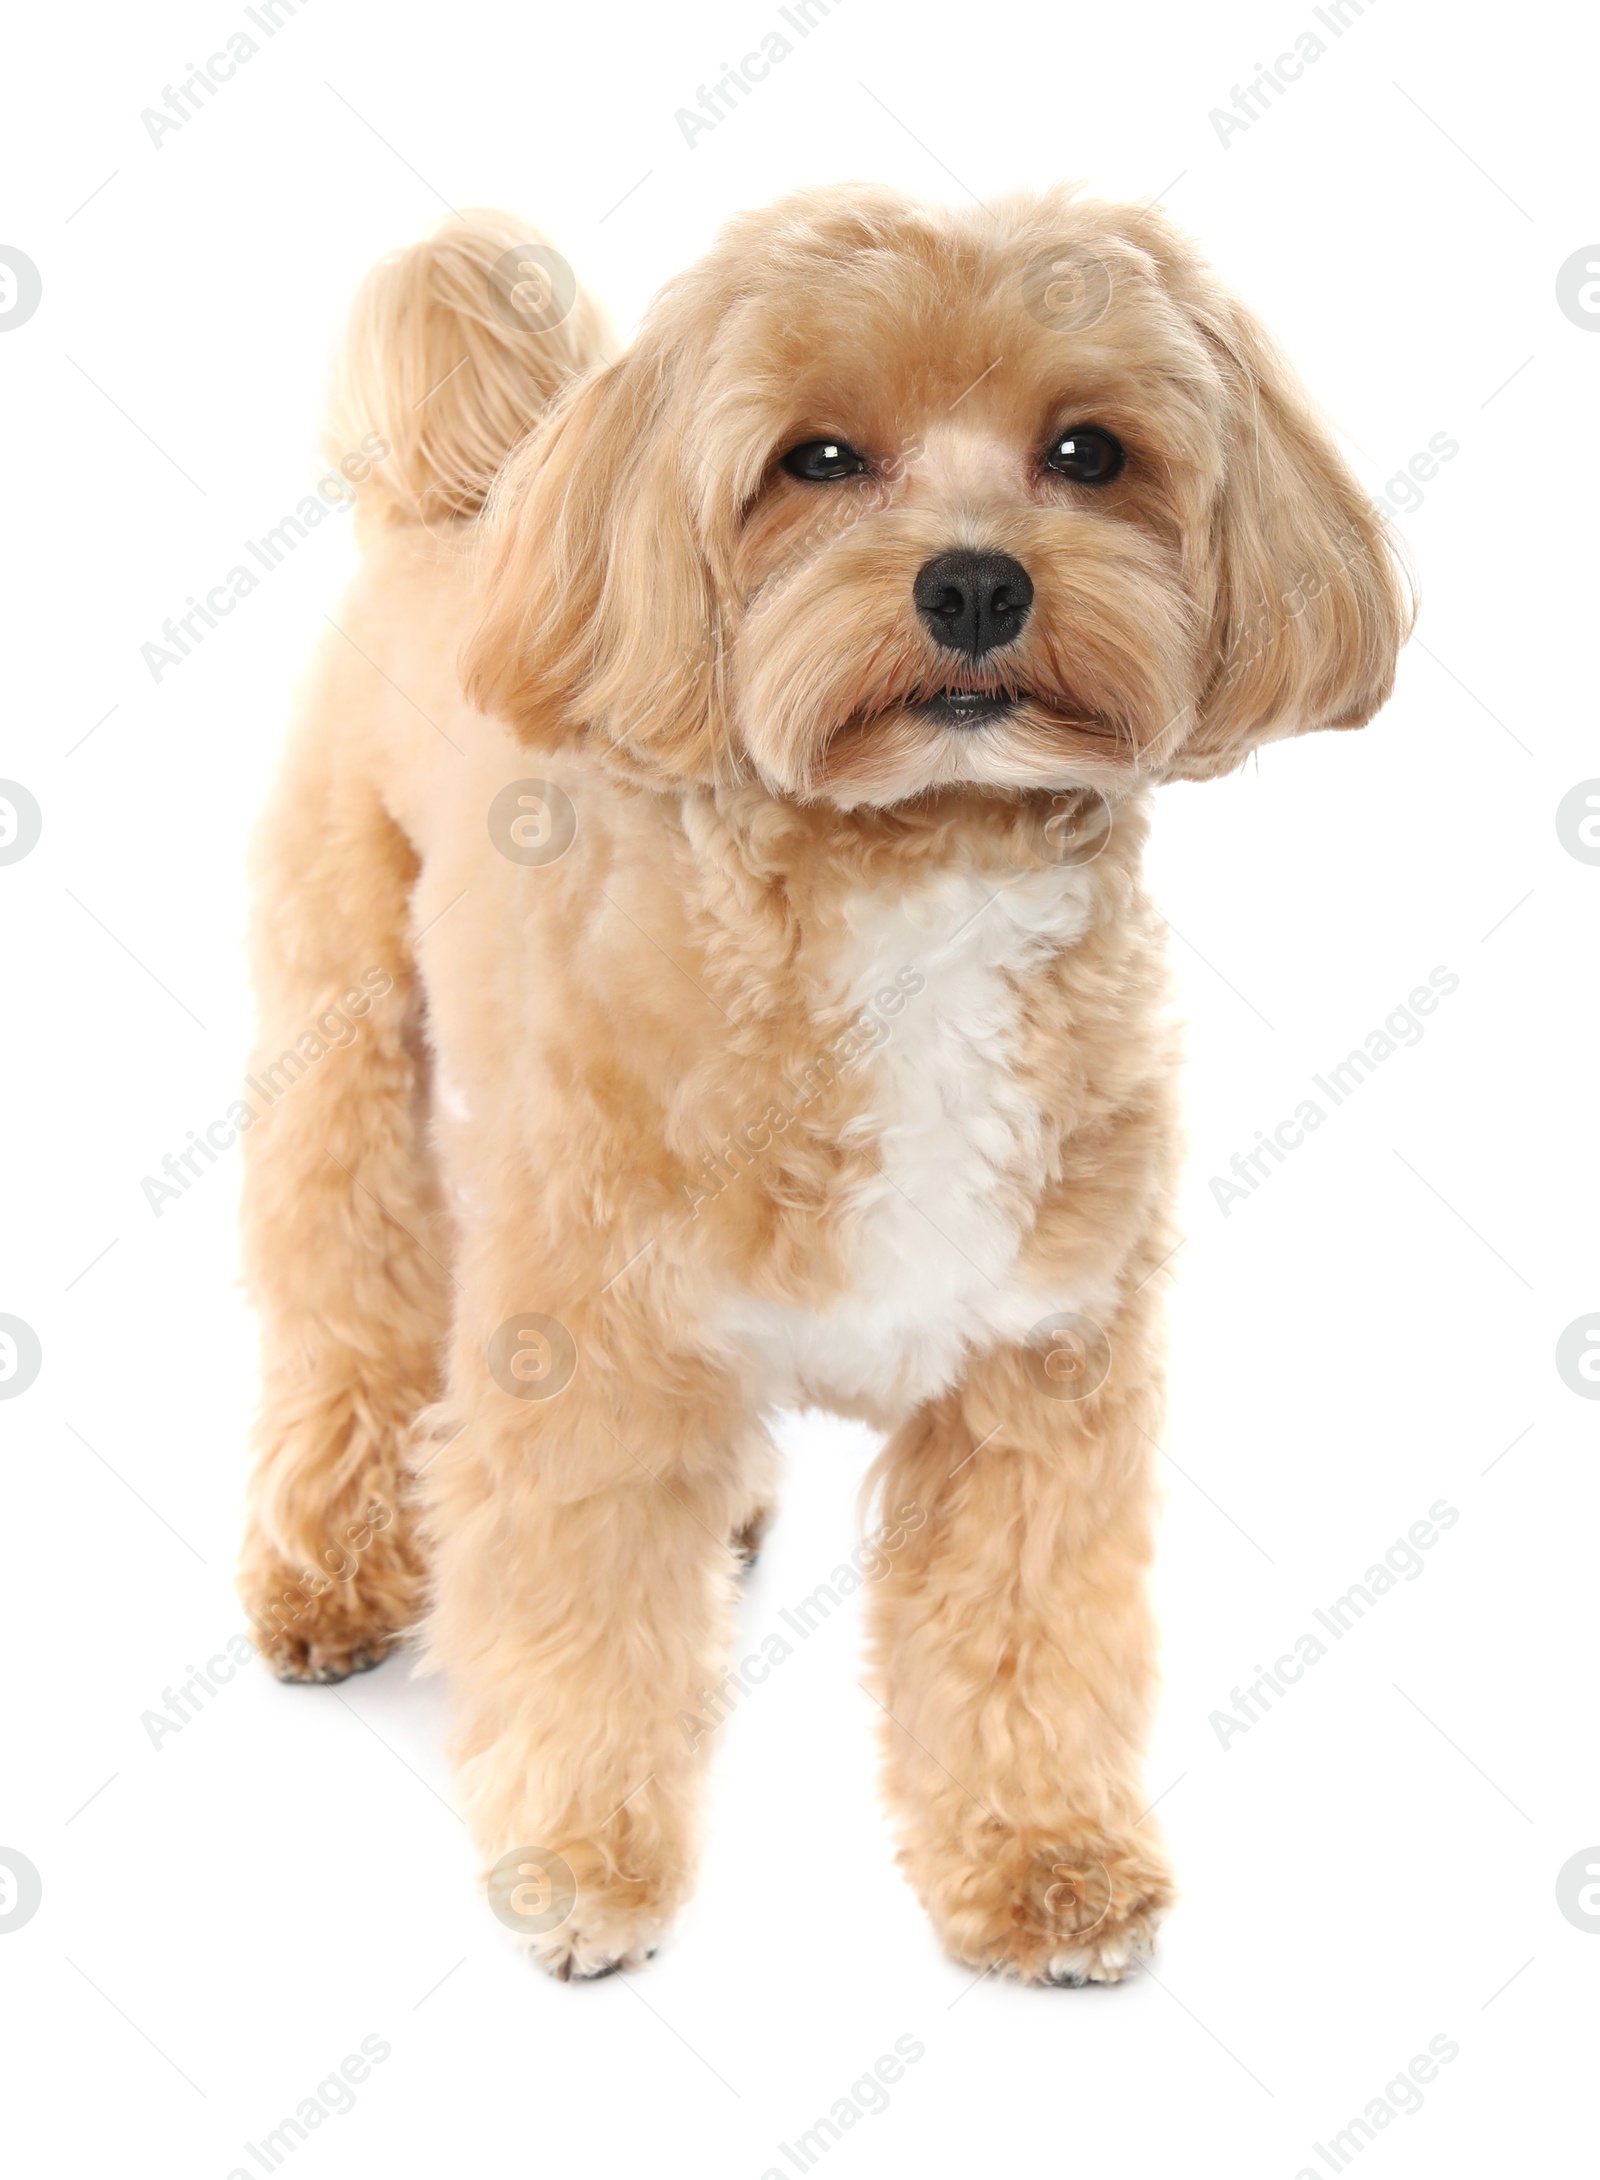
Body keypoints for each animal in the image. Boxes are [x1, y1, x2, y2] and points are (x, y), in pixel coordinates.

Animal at [237, 187, 1412, 1988]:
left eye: (1088, 450)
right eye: (820, 459)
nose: (977, 583)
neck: (918, 879)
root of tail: (471, 493)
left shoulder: (1038, 1373)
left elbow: (1024, 1632)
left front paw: (1047, 1864)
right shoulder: (593, 1349)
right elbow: (585, 1614)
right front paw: (585, 1864)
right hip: (353, 1053)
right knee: (348, 1320)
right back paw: (333, 1574)